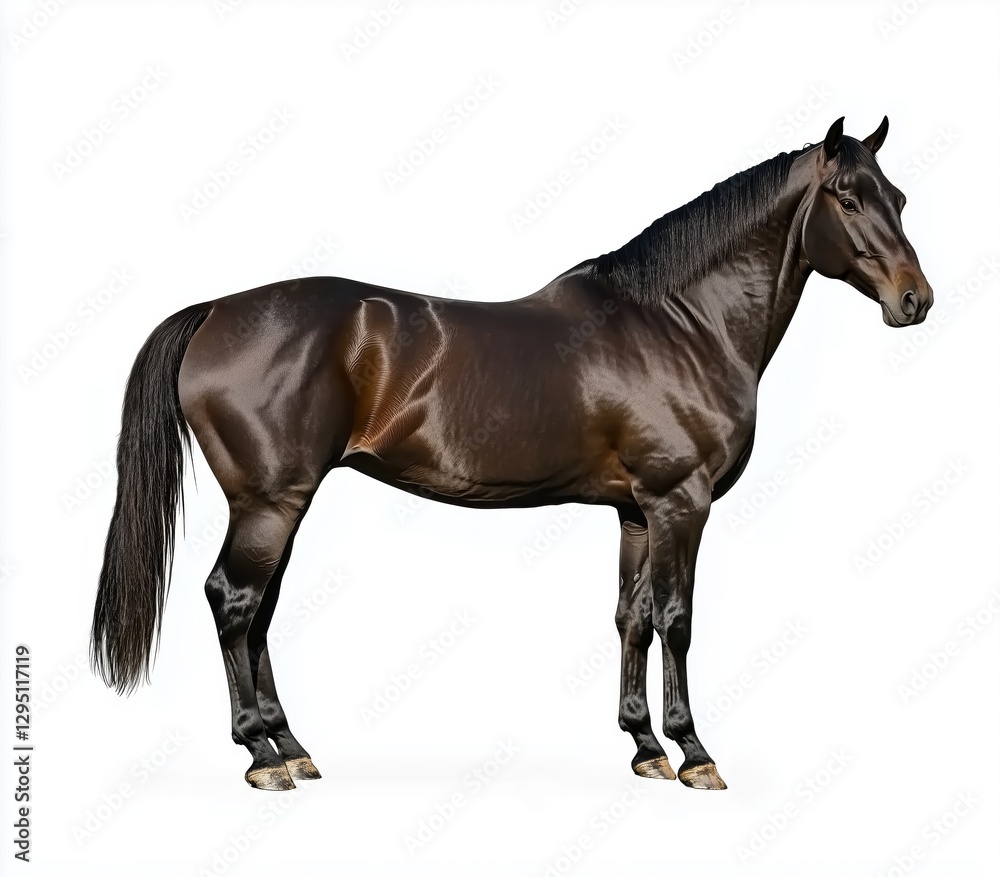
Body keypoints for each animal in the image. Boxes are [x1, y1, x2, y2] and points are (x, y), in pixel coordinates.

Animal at [91, 116, 933, 791]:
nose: (915, 300)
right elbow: (677, 618)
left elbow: (631, 617)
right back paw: (261, 756)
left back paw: (290, 745)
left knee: (257, 610)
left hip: (281, 504)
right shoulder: (679, 501)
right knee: (233, 601)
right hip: (269, 502)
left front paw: (643, 746)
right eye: (847, 198)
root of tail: (214, 311)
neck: (678, 323)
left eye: (897, 197)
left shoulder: (635, 511)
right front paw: (694, 753)